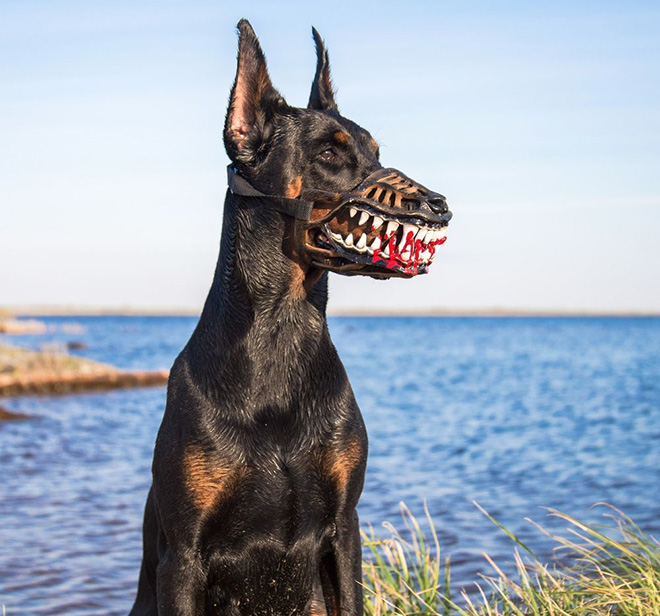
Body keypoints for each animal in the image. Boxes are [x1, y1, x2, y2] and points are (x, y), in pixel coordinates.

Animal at [128, 19, 448, 616]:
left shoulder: (344, 529)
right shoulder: (182, 554)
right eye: (328, 153)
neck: (281, 332)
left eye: (375, 151)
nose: (438, 205)